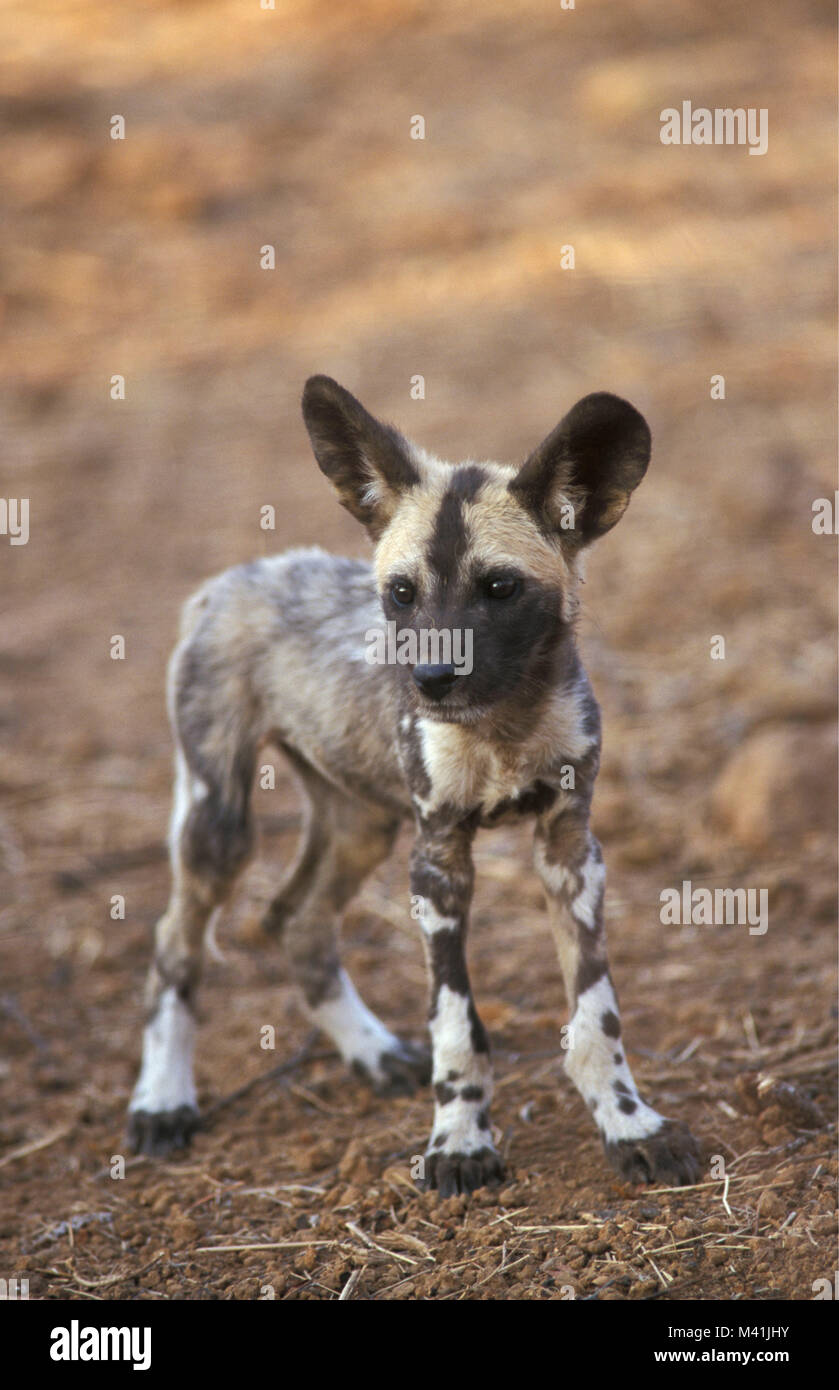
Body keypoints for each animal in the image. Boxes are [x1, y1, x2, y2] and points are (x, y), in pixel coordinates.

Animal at [126, 378, 700, 1195]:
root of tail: (234, 578)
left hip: (361, 821)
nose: (428, 677)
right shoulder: (438, 861)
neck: (504, 725)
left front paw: (629, 1126)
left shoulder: (570, 850)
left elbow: (598, 1017)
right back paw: (163, 1100)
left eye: (499, 587)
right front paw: (460, 1143)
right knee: (176, 946)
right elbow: (457, 1027)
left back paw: (367, 1050)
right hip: (221, 826)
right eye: (401, 594)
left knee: (296, 921)